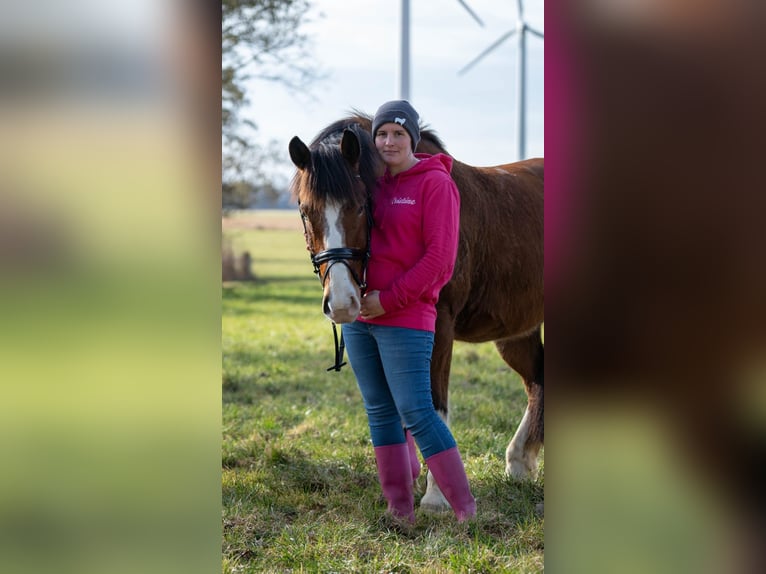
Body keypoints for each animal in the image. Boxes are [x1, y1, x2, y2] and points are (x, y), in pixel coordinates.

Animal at [290, 113, 544, 512]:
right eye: (305, 211)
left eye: (361, 206)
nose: (343, 302)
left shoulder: (439, 326)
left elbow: (433, 403)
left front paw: (437, 496)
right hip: (517, 329)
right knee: (537, 379)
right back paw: (519, 463)